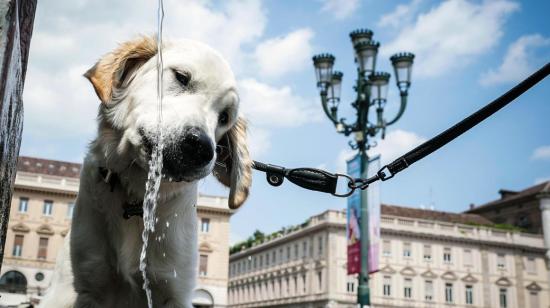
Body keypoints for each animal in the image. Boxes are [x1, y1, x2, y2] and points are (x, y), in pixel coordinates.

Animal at [38, 35, 252, 306]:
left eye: (224, 117)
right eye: (181, 77)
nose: (202, 148)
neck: (135, 197)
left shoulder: (173, 289)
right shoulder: (78, 285)